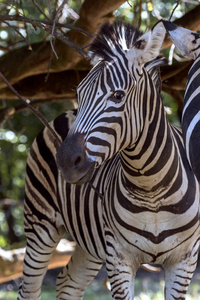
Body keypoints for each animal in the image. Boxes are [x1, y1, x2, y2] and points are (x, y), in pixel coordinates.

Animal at [17, 19, 200, 298]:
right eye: (79, 94)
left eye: (117, 95)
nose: (65, 162)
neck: (152, 189)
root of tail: (66, 113)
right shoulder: (118, 258)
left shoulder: (184, 261)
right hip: (40, 223)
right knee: (29, 289)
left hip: (89, 241)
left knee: (68, 282)